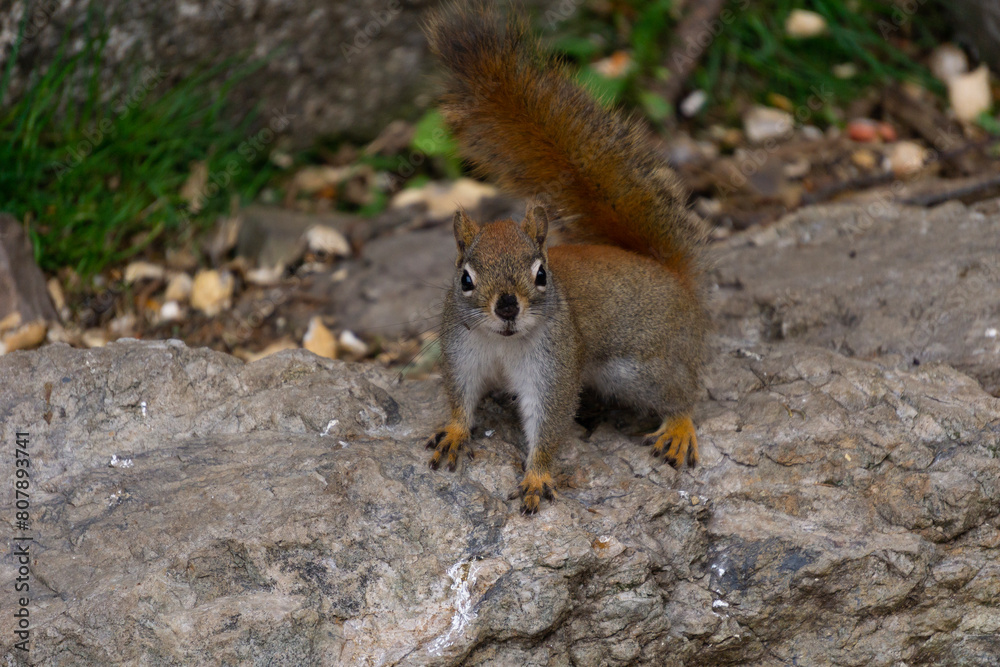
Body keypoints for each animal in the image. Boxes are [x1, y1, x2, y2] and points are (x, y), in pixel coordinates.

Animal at [423, 4, 710, 514]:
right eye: (465, 280)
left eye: (541, 274)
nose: (508, 307)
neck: (504, 344)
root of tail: (675, 277)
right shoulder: (462, 350)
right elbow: (460, 396)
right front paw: (455, 432)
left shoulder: (555, 362)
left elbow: (550, 419)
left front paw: (537, 475)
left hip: (646, 366)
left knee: (682, 392)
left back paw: (678, 427)